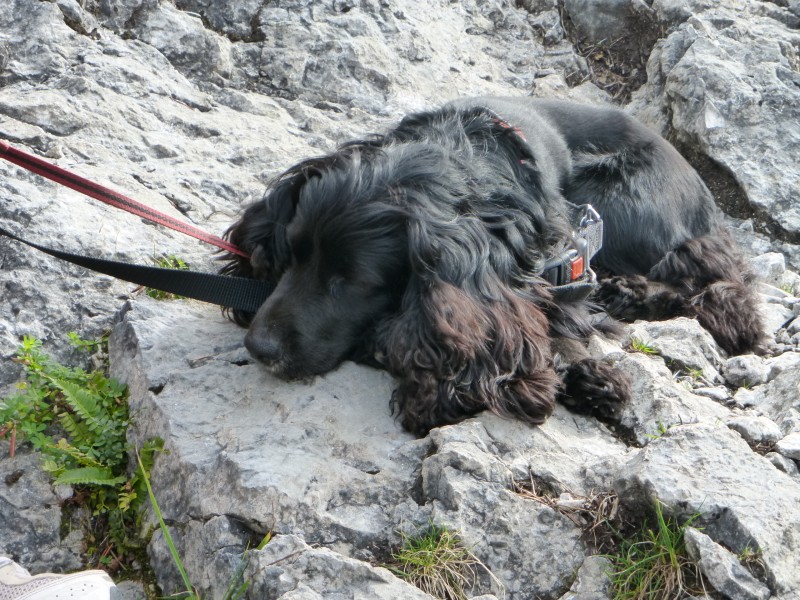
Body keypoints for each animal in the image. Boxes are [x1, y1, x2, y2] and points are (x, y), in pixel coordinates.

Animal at [219, 98, 764, 436]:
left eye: (351, 281)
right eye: (290, 254)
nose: (259, 347)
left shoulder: (551, 254)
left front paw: (588, 374)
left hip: (614, 201)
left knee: (718, 288)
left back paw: (629, 292)